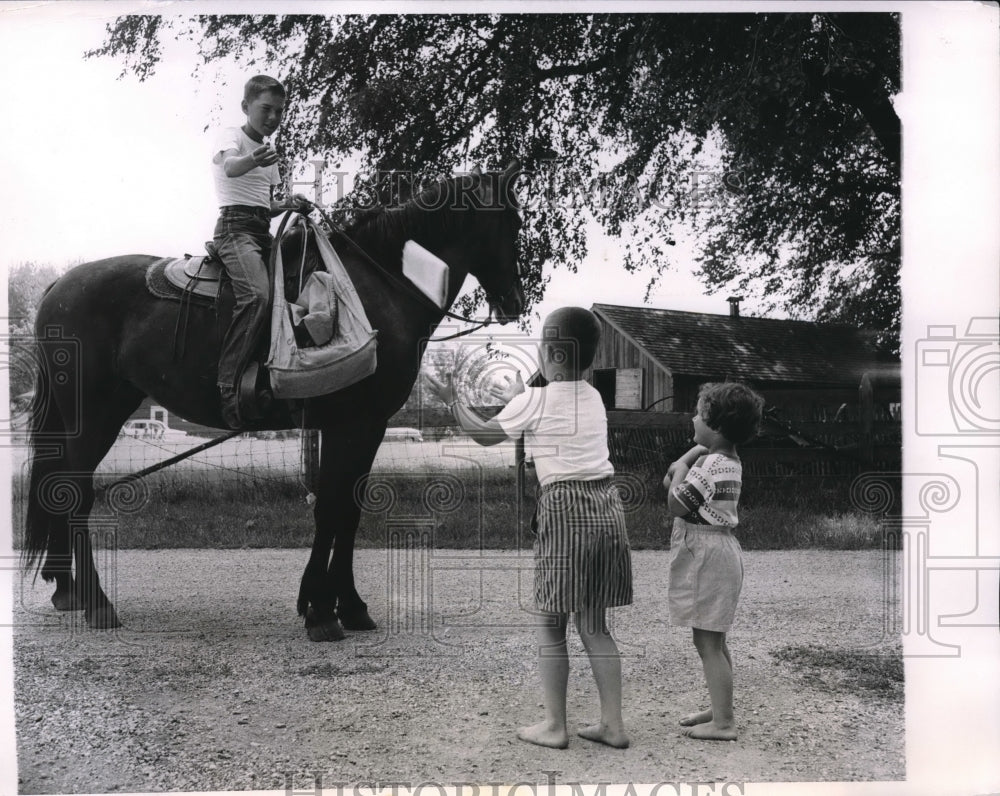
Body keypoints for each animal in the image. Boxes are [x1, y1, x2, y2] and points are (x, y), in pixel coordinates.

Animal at [21, 162, 524, 640]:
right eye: (512, 223)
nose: (515, 302)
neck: (377, 289)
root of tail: (58, 287)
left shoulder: (367, 426)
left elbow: (348, 511)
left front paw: (346, 606)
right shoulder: (351, 423)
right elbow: (332, 509)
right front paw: (321, 611)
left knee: (61, 487)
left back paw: (67, 590)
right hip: (95, 414)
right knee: (76, 493)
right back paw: (97, 603)